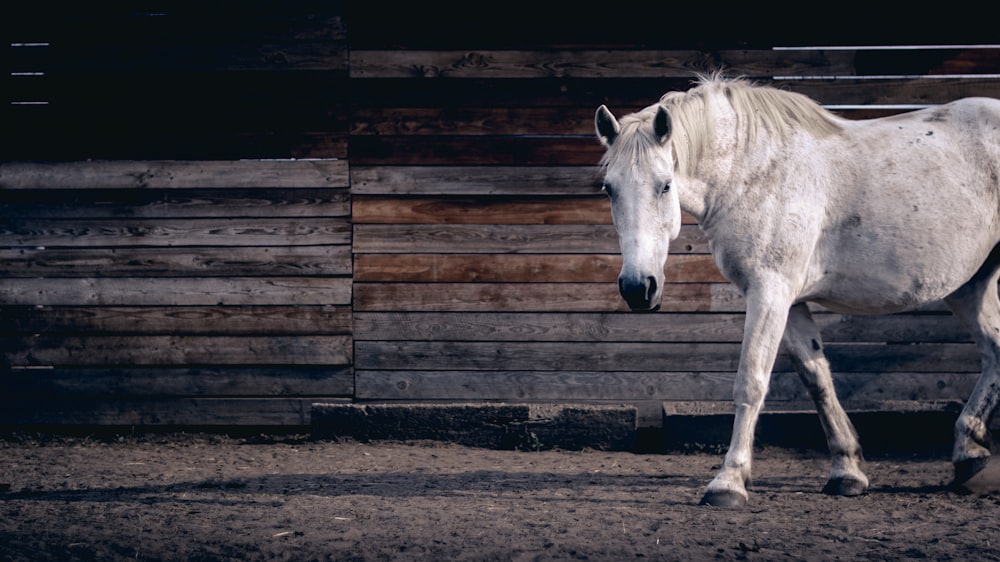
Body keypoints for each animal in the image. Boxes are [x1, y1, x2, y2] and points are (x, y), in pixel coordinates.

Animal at [596, 72, 996, 506]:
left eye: (665, 186)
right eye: (609, 189)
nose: (638, 287)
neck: (754, 171)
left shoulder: (770, 292)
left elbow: (752, 380)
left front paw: (729, 481)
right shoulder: (790, 302)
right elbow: (817, 379)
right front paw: (847, 471)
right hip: (970, 286)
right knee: (994, 351)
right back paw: (969, 453)